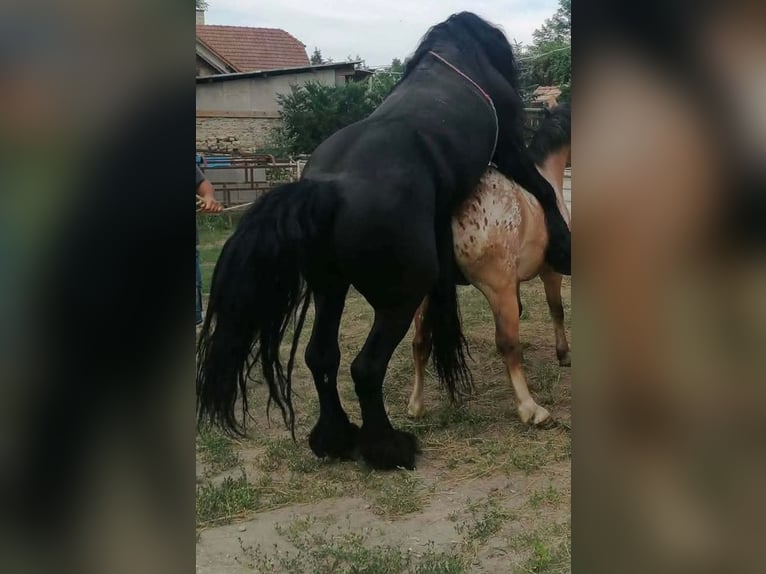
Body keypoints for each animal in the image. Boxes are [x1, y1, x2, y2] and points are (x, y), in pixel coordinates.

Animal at [407, 104, 571, 425]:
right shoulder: (549, 274)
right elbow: (556, 310)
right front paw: (563, 354)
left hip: (427, 293)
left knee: (420, 342)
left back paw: (416, 405)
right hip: (497, 287)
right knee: (507, 341)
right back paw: (530, 408)